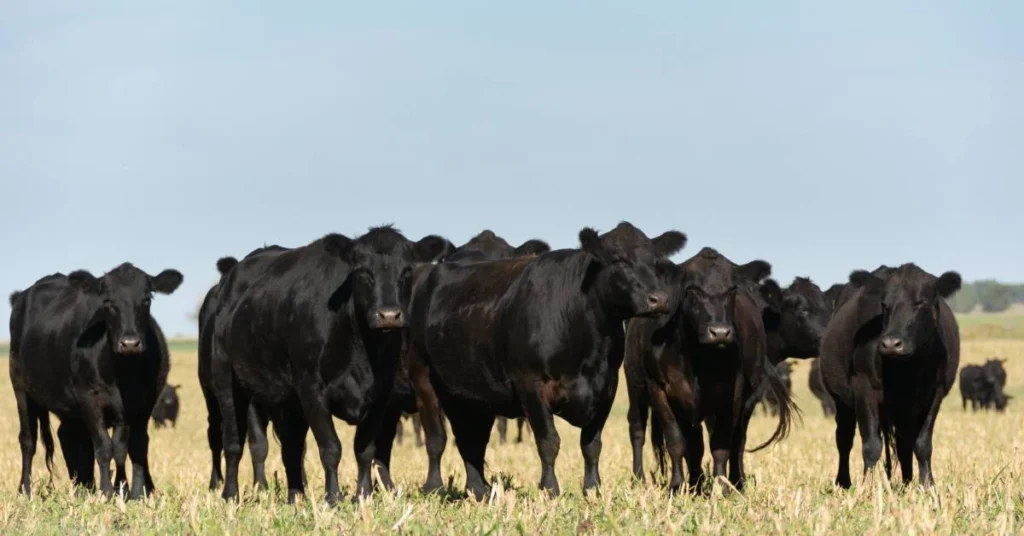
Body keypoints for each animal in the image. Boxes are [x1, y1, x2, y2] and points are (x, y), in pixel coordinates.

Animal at [8, 263, 182, 499]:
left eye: (147, 299)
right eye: (107, 301)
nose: (129, 343)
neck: (122, 373)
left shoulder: (140, 406)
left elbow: (129, 447)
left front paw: (132, 492)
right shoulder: (90, 400)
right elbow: (104, 447)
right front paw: (107, 491)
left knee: (69, 436)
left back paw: (83, 487)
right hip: (20, 386)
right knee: (28, 440)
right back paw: (25, 489)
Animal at [211, 226, 450, 504]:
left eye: (408, 270)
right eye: (362, 271)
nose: (388, 315)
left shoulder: (381, 395)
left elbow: (365, 449)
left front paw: (363, 495)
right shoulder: (311, 389)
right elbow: (331, 448)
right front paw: (333, 498)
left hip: (283, 399)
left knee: (291, 448)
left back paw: (295, 497)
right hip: (227, 382)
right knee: (233, 443)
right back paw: (230, 495)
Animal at [406, 222, 686, 499]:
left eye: (657, 262)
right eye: (618, 260)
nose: (659, 299)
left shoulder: (606, 386)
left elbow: (591, 444)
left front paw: (592, 488)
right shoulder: (531, 384)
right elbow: (549, 441)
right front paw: (550, 489)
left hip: (470, 392)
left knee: (471, 440)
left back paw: (478, 490)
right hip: (423, 375)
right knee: (437, 438)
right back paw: (434, 487)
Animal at [625, 247, 795, 493]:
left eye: (732, 290)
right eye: (692, 289)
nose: (720, 332)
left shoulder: (732, 393)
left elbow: (721, 444)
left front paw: (722, 487)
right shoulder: (658, 388)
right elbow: (675, 440)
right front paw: (676, 486)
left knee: (734, 440)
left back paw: (727, 482)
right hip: (635, 383)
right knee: (638, 429)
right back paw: (640, 479)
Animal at [820, 263, 960, 489]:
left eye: (921, 302)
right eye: (884, 305)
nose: (891, 344)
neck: (905, 370)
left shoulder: (935, 393)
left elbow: (922, 444)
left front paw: (927, 485)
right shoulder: (863, 388)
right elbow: (871, 445)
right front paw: (867, 487)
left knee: (904, 444)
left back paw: (906, 482)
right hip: (841, 400)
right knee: (844, 438)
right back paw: (844, 482)